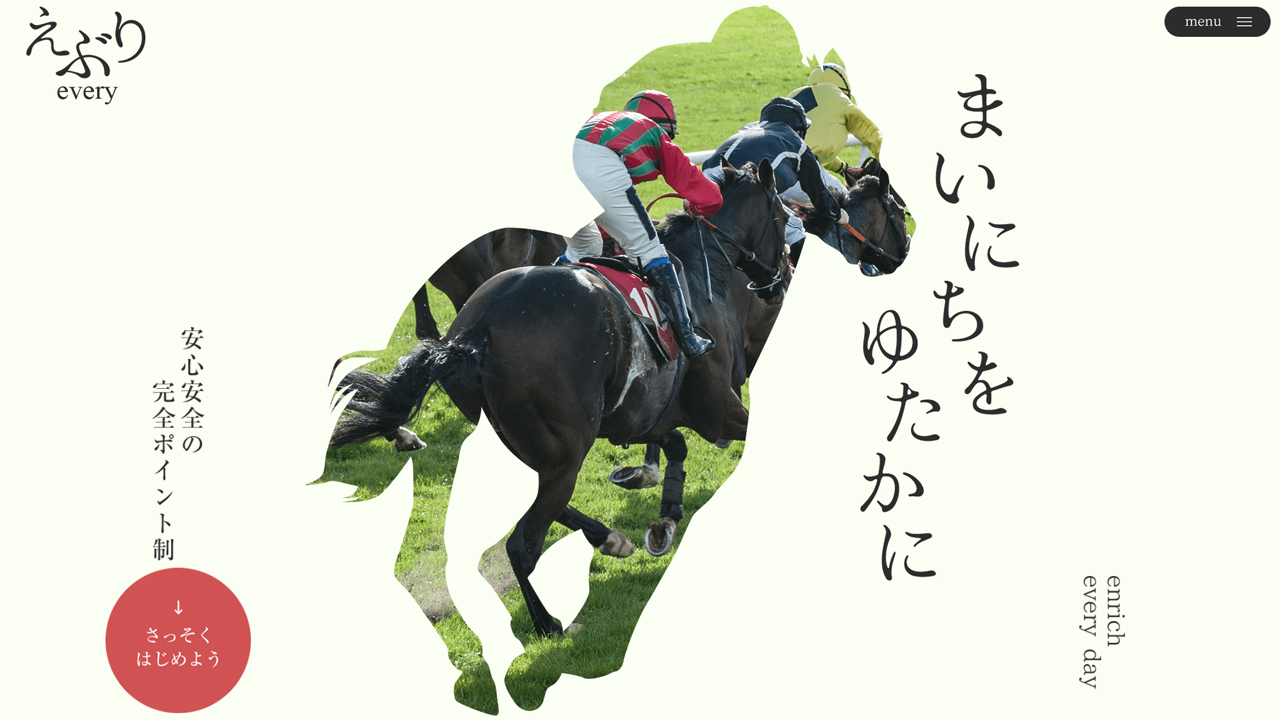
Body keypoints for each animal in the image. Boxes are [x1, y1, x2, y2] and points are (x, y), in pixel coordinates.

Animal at [331, 159, 794, 638]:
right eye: (782, 216)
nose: (781, 280)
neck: (702, 280)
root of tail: (474, 335)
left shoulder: (643, 415)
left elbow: (675, 446)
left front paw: (664, 515)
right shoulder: (718, 411)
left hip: (531, 446)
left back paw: (609, 540)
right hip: (565, 450)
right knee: (523, 543)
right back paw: (549, 623)